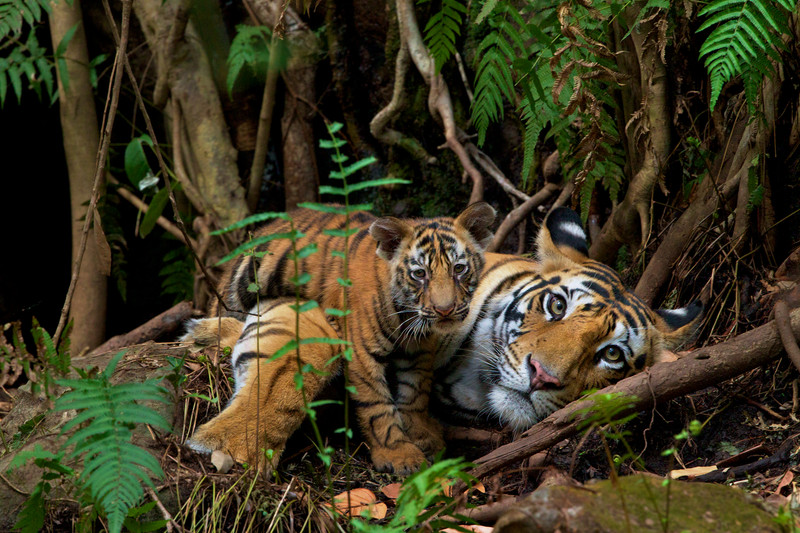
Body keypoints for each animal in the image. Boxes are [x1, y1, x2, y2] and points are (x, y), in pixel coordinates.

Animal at [202, 203, 496, 474]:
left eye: (459, 269)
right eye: (420, 274)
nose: (444, 309)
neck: (408, 317)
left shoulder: (419, 350)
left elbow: (416, 393)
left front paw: (422, 434)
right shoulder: (363, 352)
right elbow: (376, 405)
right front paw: (398, 454)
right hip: (238, 288)